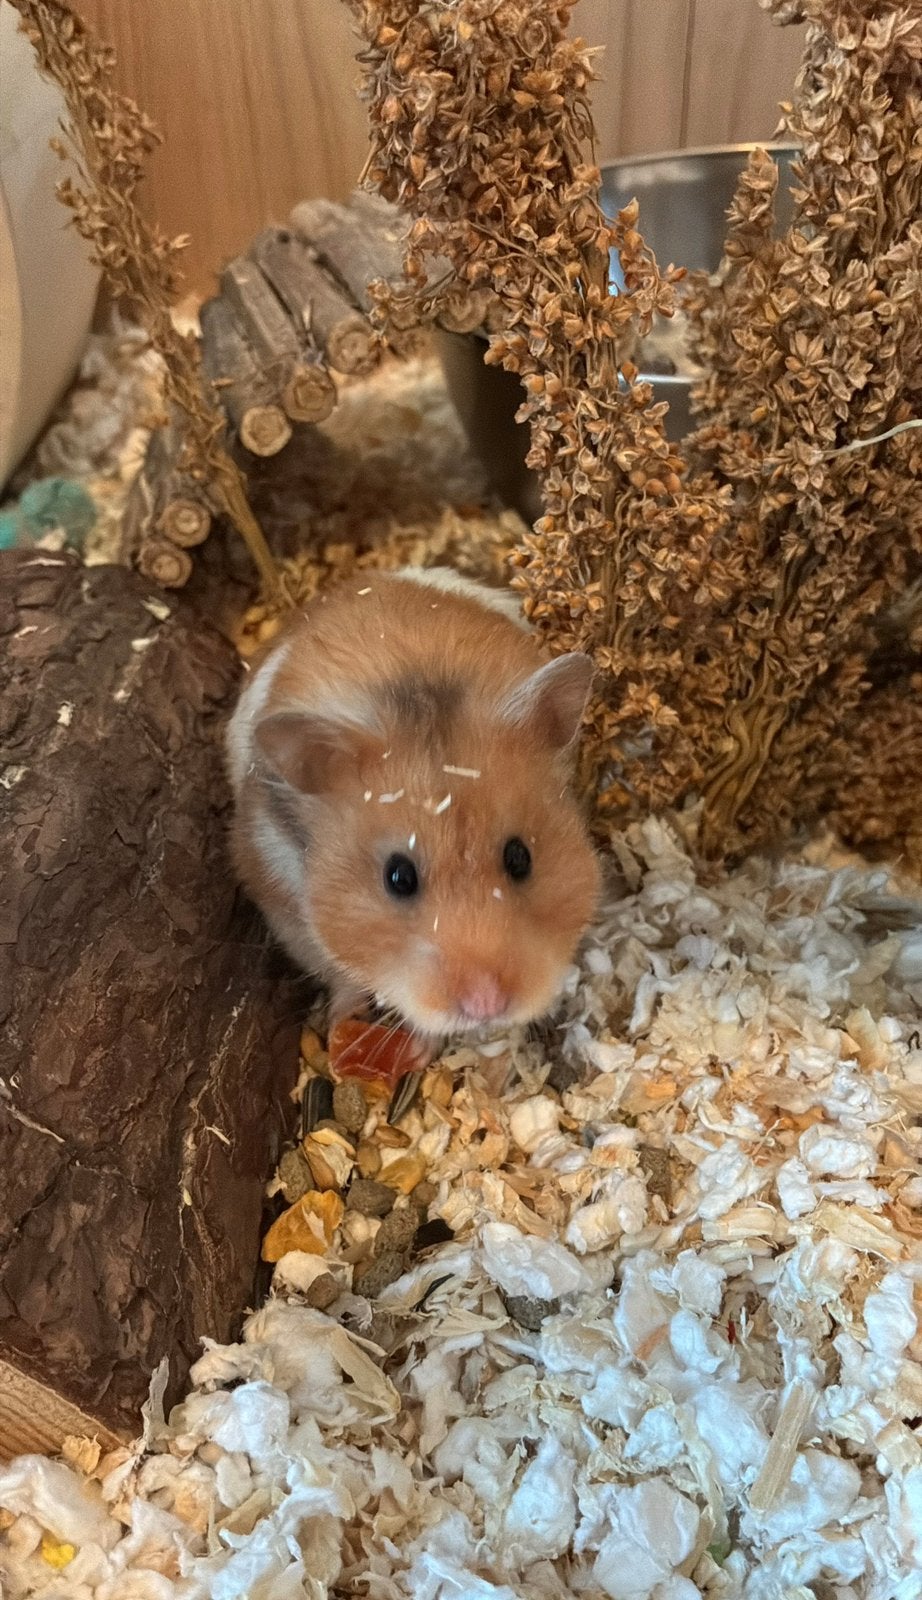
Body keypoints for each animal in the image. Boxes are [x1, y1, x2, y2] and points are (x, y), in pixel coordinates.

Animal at [226, 567, 600, 1049]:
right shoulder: (284, 906)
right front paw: (341, 1024)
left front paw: (424, 1049)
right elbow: (338, 973)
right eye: (398, 877)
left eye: (521, 858)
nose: (486, 1006)